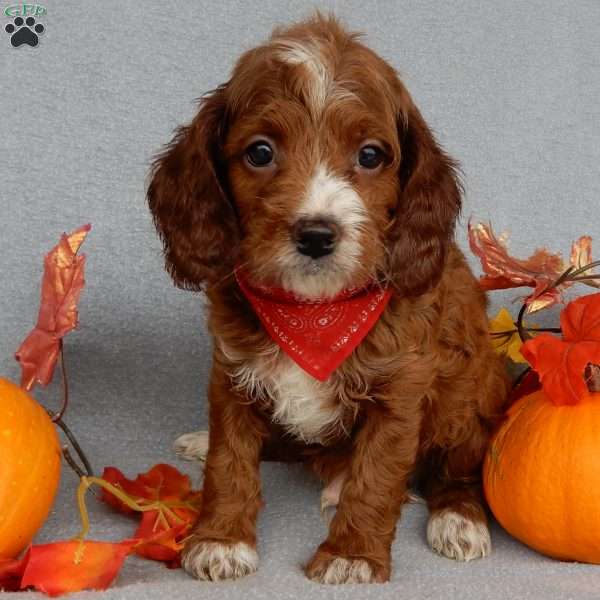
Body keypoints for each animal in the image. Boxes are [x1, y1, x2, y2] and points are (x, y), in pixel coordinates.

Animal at [148, 14, 508, 584]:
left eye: (370, 156)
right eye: (260, 152)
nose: (317, 235)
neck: (315, 312)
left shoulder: (401, 388)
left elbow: (377, 476)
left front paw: (352, 554)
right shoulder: (230, 372)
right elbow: (230, 459)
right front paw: (221, 540)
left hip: (469, 391)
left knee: (457, 468)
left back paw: (457, 518)